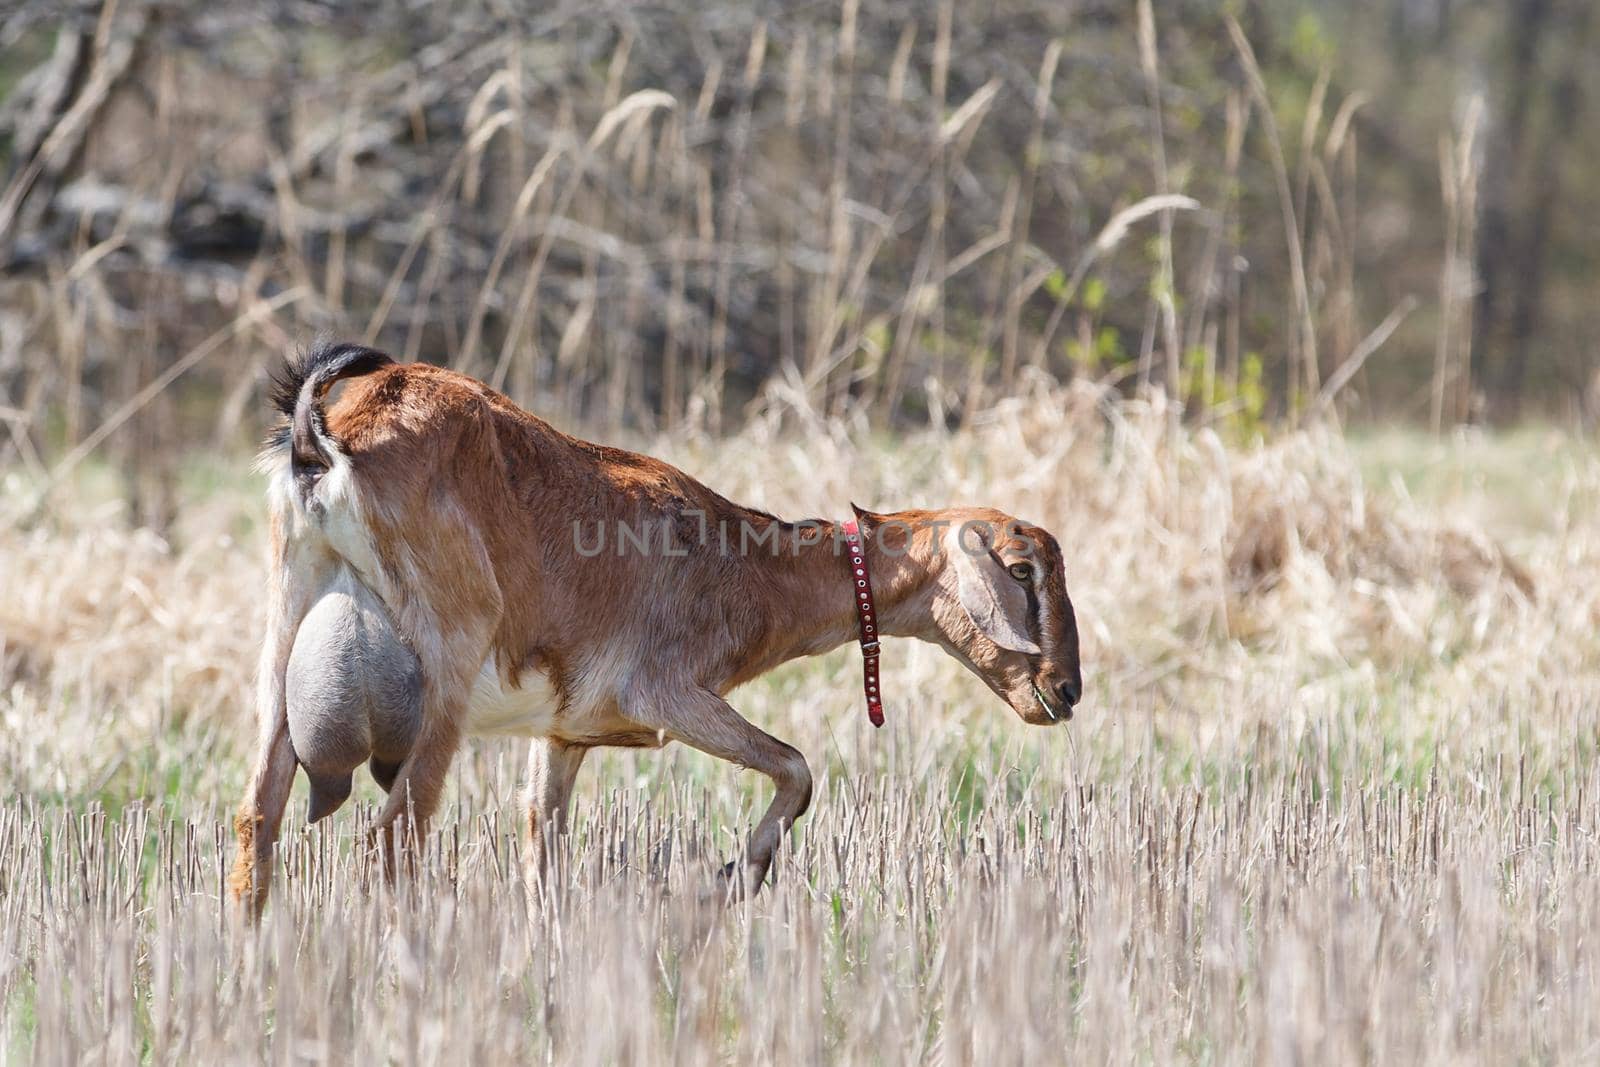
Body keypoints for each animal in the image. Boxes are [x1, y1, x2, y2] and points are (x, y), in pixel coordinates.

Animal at [228, 347, 1088, 915]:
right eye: (1021, 568)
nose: (1064, 689)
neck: (743, 558)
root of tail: (324, 435)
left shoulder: (565, 734)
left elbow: (542, 850)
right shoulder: (669, 694)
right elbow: (797, 766)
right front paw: (732, 877)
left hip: (283, 647)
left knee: (257, 820)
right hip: (445, 676)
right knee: (393, 838)